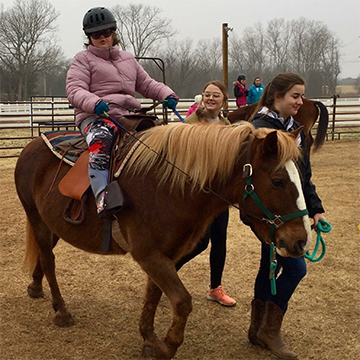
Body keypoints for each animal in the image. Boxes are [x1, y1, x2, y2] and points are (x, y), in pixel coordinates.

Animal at [15, 122, 310, 358]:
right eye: (277, 181)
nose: (301, 242)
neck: (170, 188)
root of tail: (31, 146)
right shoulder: (149, 255)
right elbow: (182, 301)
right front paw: (168, 346)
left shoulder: (165, 256)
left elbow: (154, 295)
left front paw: (149, 338)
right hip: (37, 219)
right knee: (49, 260)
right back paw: (61, 310)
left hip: (52, 225)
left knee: (43, 256)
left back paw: (35, 286)